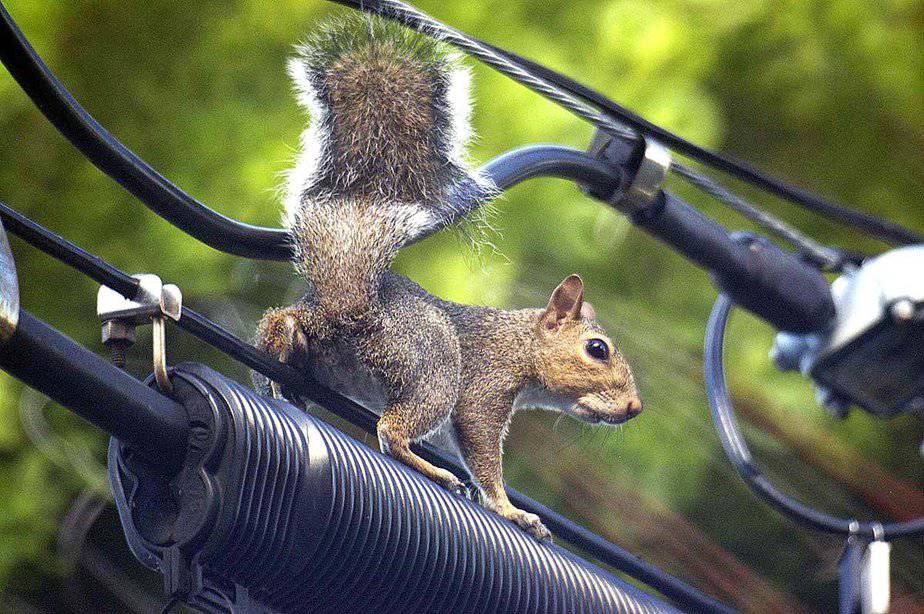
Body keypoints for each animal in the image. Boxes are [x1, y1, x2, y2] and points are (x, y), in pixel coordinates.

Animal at [256, 16, 643, 541]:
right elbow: (482, 451)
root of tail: (350, 311)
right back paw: (435, 471)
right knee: (392, 431)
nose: (634, 407)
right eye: (597, 349)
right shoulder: (485, 388)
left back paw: (285, 350)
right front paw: (510, 510)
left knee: (285, 333)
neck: (519, 344)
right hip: (434, 365)